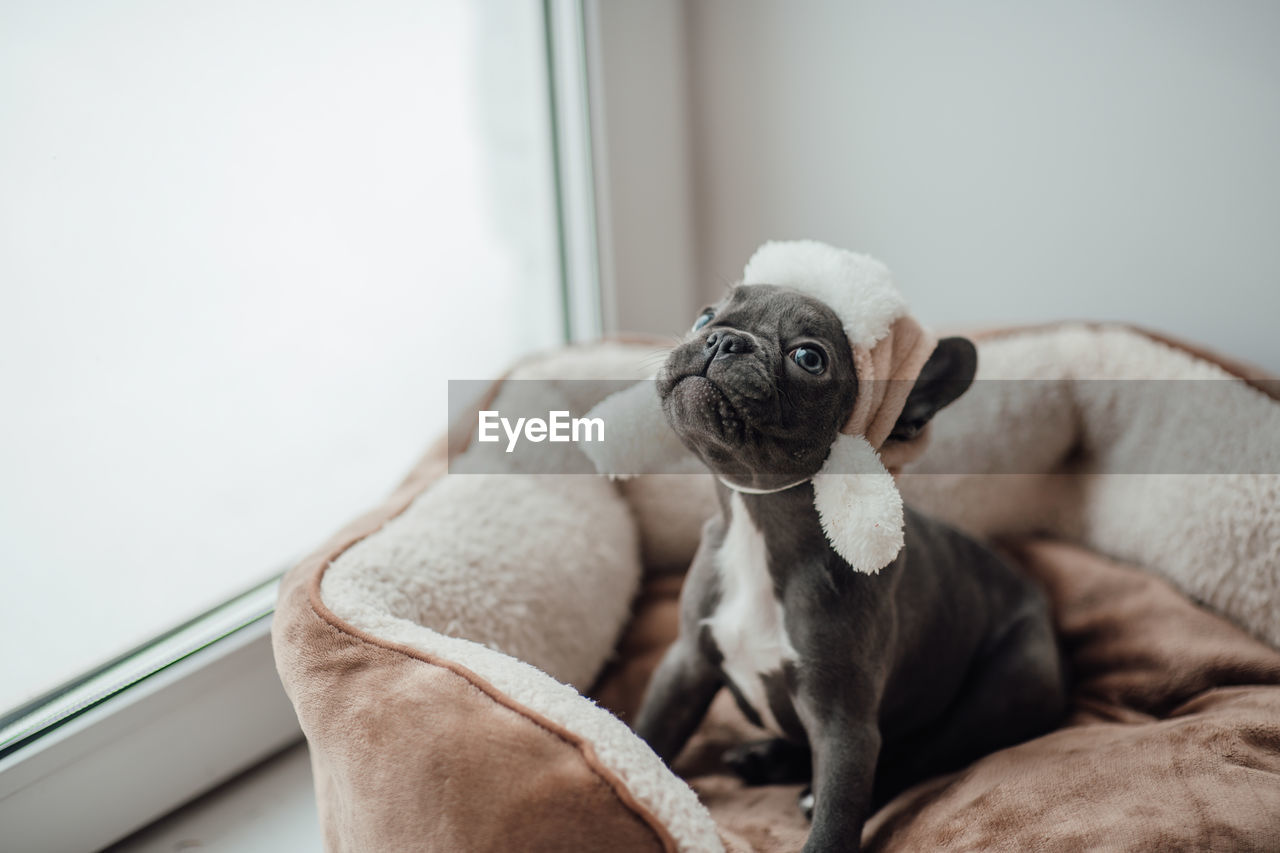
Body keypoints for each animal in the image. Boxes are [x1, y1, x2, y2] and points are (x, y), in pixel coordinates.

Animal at [627, 284, 1059, 850]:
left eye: (809, 358)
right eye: (705, 316)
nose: (722, 338)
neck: (760, 523)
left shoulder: (844, 724)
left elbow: (837, 814)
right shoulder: (686, 663)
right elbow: (650, 734)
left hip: (1009, 683)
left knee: (919, 755)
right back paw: (766, 756)